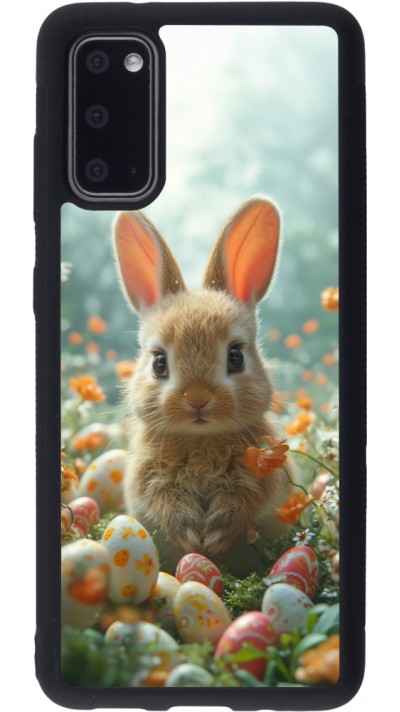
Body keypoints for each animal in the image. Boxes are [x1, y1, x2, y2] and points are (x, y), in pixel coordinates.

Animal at [113, 196, 293, 574]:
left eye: (235, 357)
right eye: (159, 362)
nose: (197, 399)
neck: (200, 438)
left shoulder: (262, 474)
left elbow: (244, 499)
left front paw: (215, 535)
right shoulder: (147, 478)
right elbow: (163, 500)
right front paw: (191, 534)